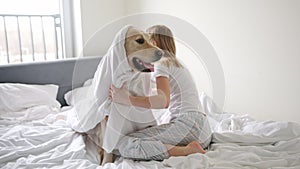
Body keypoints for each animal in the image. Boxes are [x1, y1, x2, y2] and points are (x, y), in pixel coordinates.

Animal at [94, 27, 164, 166]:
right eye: (140, 40)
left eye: (151, 40)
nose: (161, 53)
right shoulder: (106, 118)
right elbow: (107, 147)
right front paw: (106, 163)